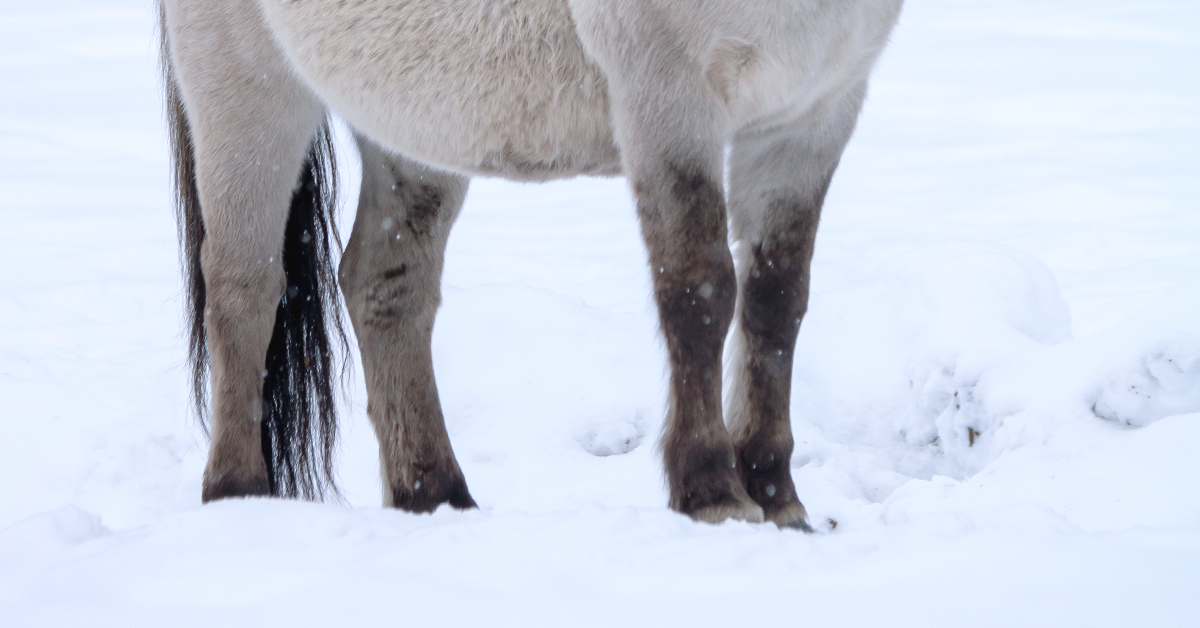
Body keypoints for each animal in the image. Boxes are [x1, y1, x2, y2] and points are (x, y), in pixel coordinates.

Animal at [159, 1, 902, 530]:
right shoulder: (669, 108)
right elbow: (700, 294)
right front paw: (713, 492)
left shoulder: (810, 123)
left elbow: (776, 305)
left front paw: (778, 497)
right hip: (247, 88)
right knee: (244, 289)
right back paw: (238, 495)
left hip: (416, 119)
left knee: (385, 287)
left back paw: (436, 495)